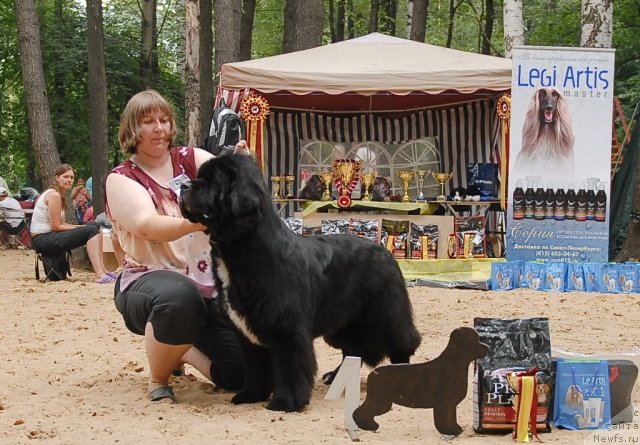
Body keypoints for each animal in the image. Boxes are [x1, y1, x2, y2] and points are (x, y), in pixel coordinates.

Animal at [180, 154, 420, 412]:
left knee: (401, 341)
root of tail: (385, 251)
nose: (184, 186)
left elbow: (290, 367)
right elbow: (255, 367)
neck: (245, 247)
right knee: (353, 350)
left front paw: (286, 402)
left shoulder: (286, 328)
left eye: (213, 181)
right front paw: (251, 395)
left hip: (384, 315)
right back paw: (336, 377)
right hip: (343, 324)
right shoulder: (249, 330)